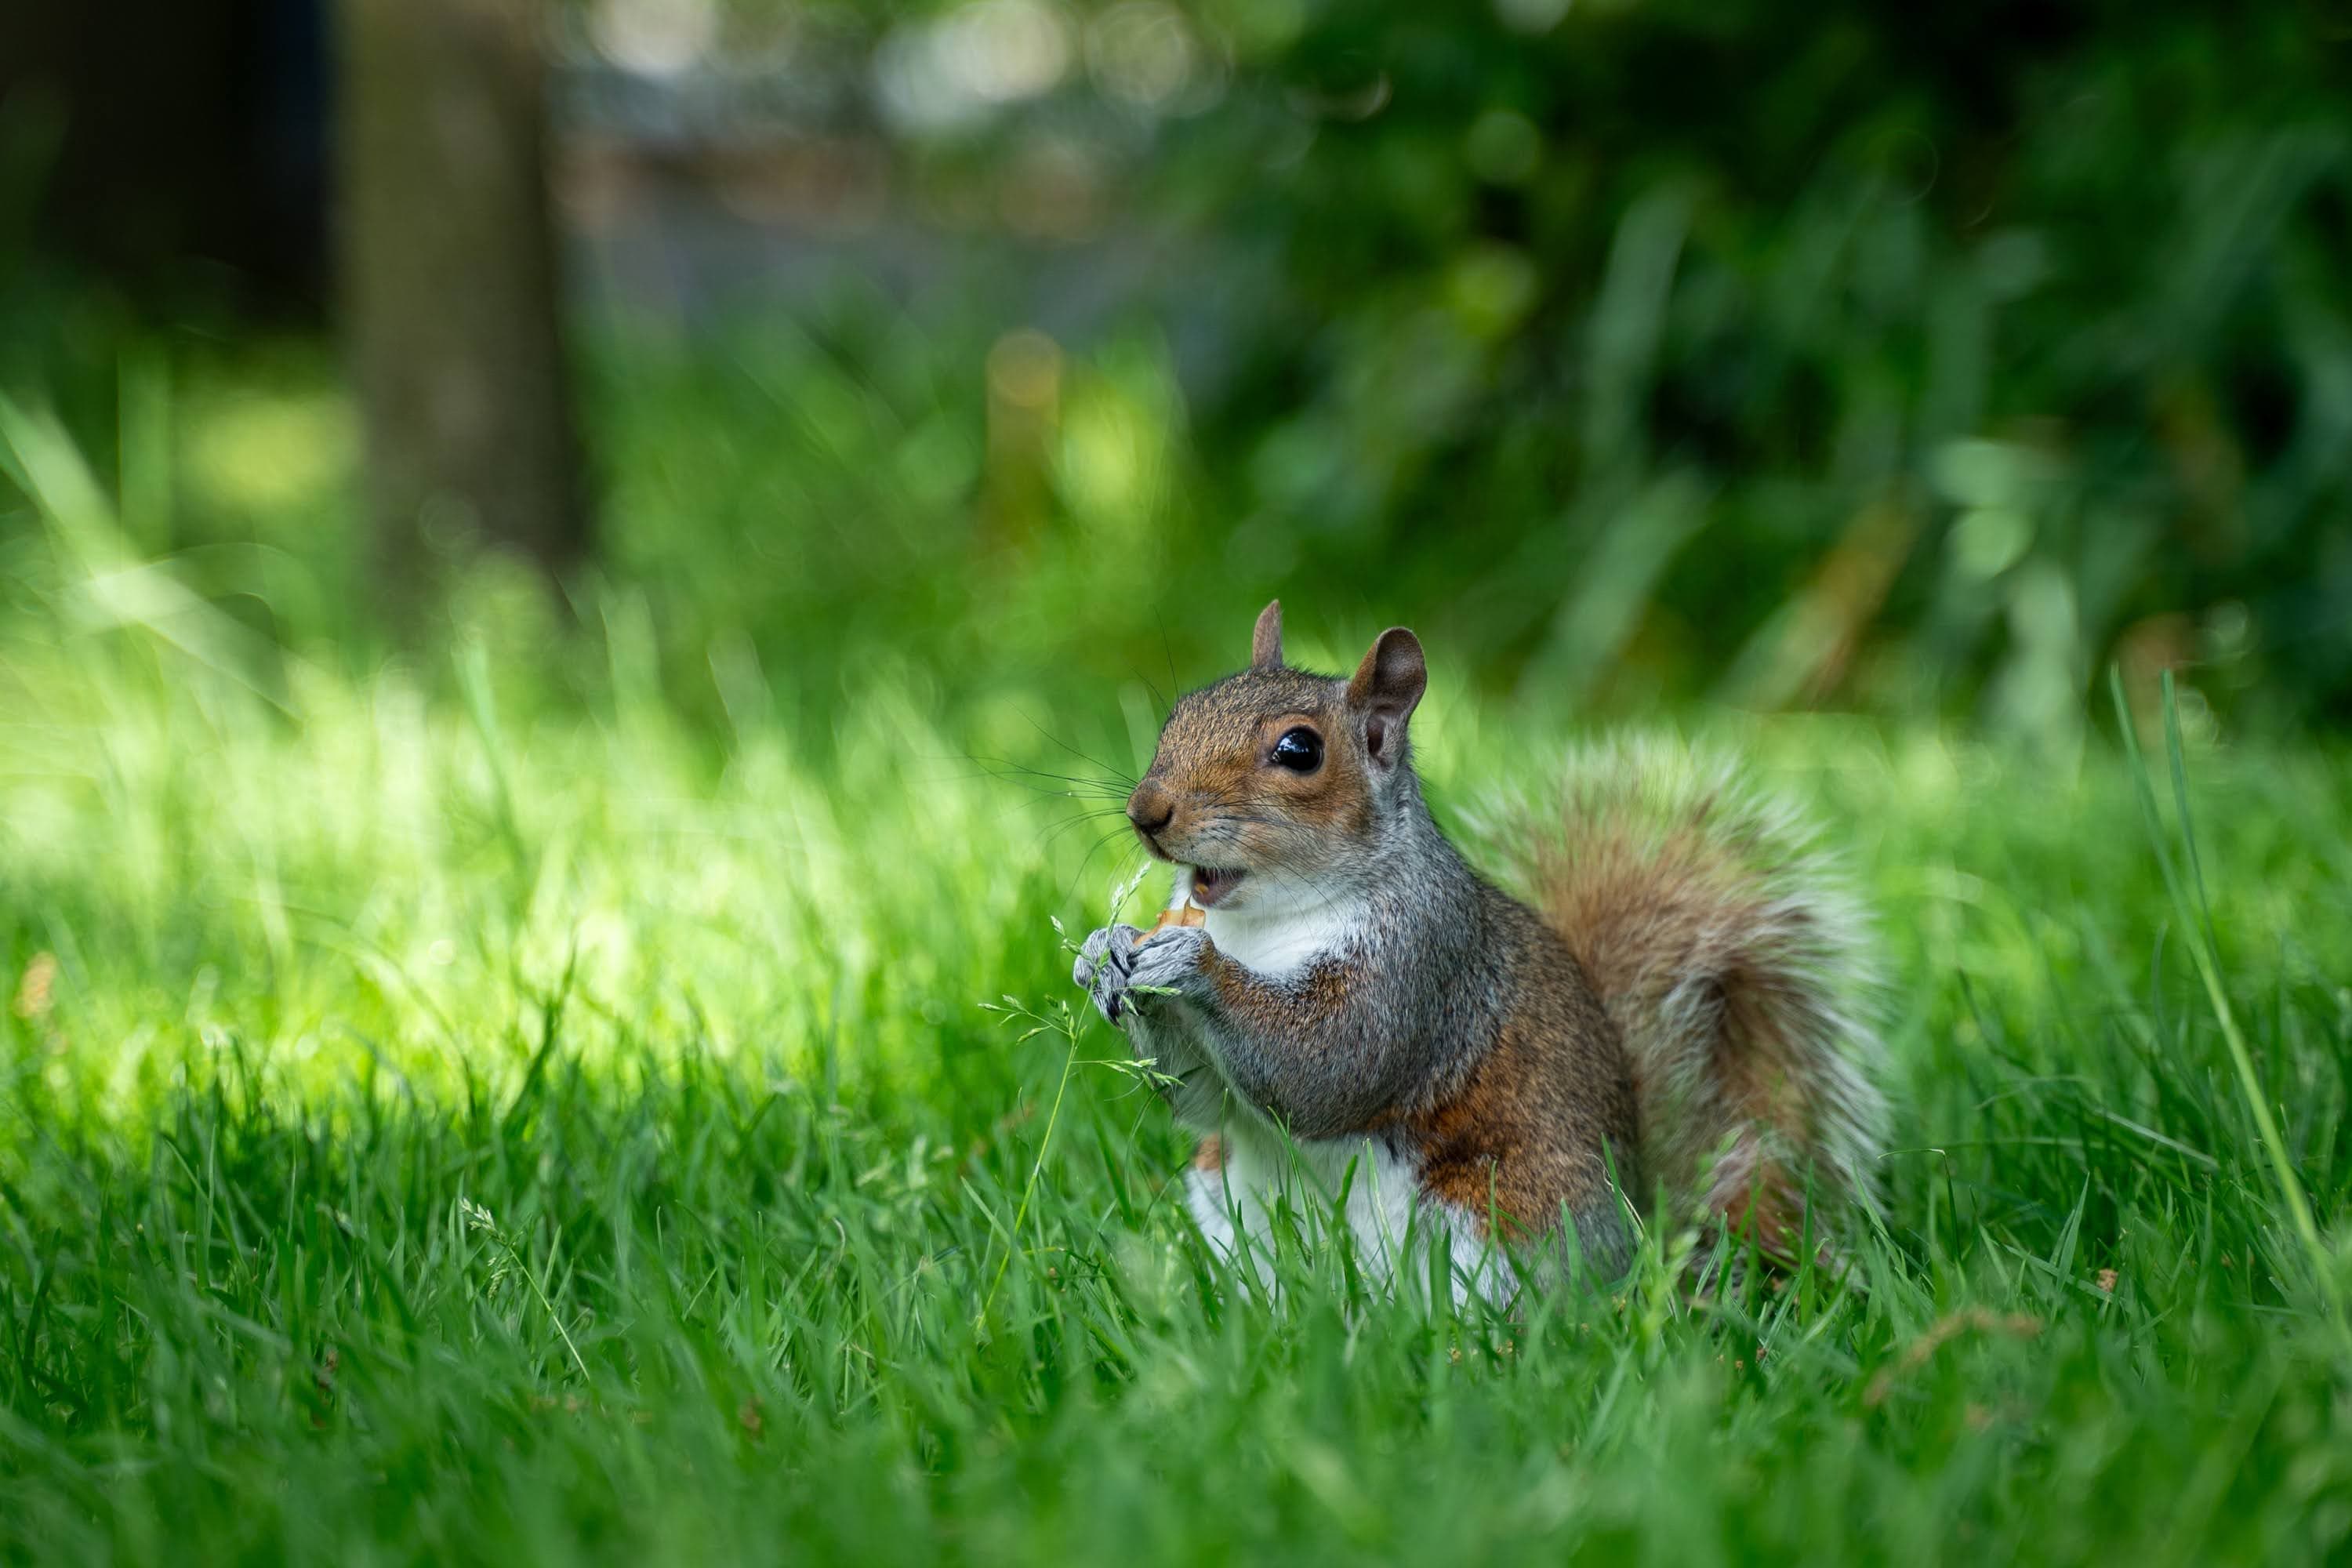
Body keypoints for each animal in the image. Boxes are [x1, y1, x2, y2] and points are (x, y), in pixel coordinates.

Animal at [1072, 601, 1884, 1297]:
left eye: (1299, 750)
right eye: (1179, 713)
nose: (1146, 812)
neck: (1262, 925)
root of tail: (1641, 1221)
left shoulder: (1422, 961)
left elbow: (1329, 1067)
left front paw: (1192, 965)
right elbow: (1201, 1097)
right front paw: (1104, 950)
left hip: (1497, 1218)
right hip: (1224, 1200)